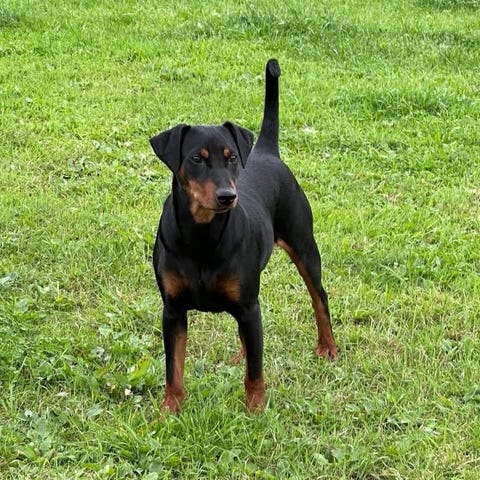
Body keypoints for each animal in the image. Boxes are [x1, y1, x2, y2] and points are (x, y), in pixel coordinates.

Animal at [149, 59, 337, 413]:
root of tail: (266, 151)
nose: (227, 196)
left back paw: (328, 347)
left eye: (232, 157)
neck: (203, 235)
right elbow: (173, 370)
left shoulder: (250, 305)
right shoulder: (173, 310)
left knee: (319, 298)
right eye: (196, 158)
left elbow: (255, 372)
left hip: (305, 247)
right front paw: (169, 411)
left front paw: (255, 411)